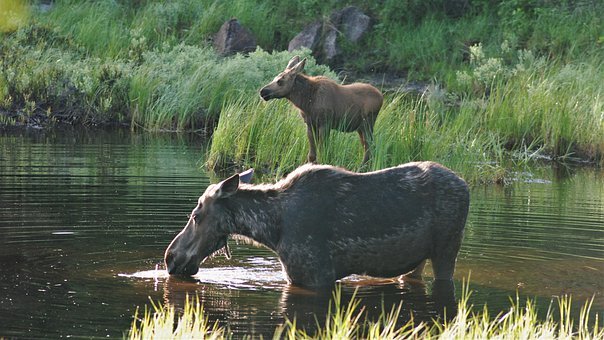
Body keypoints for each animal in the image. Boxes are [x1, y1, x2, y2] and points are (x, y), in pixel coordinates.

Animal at [165, 161, 472, 286]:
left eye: (196, 216)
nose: (170, 257)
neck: (272, 231)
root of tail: (466, 185)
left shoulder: (316, 274)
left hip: (447, 249)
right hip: (416, 260)